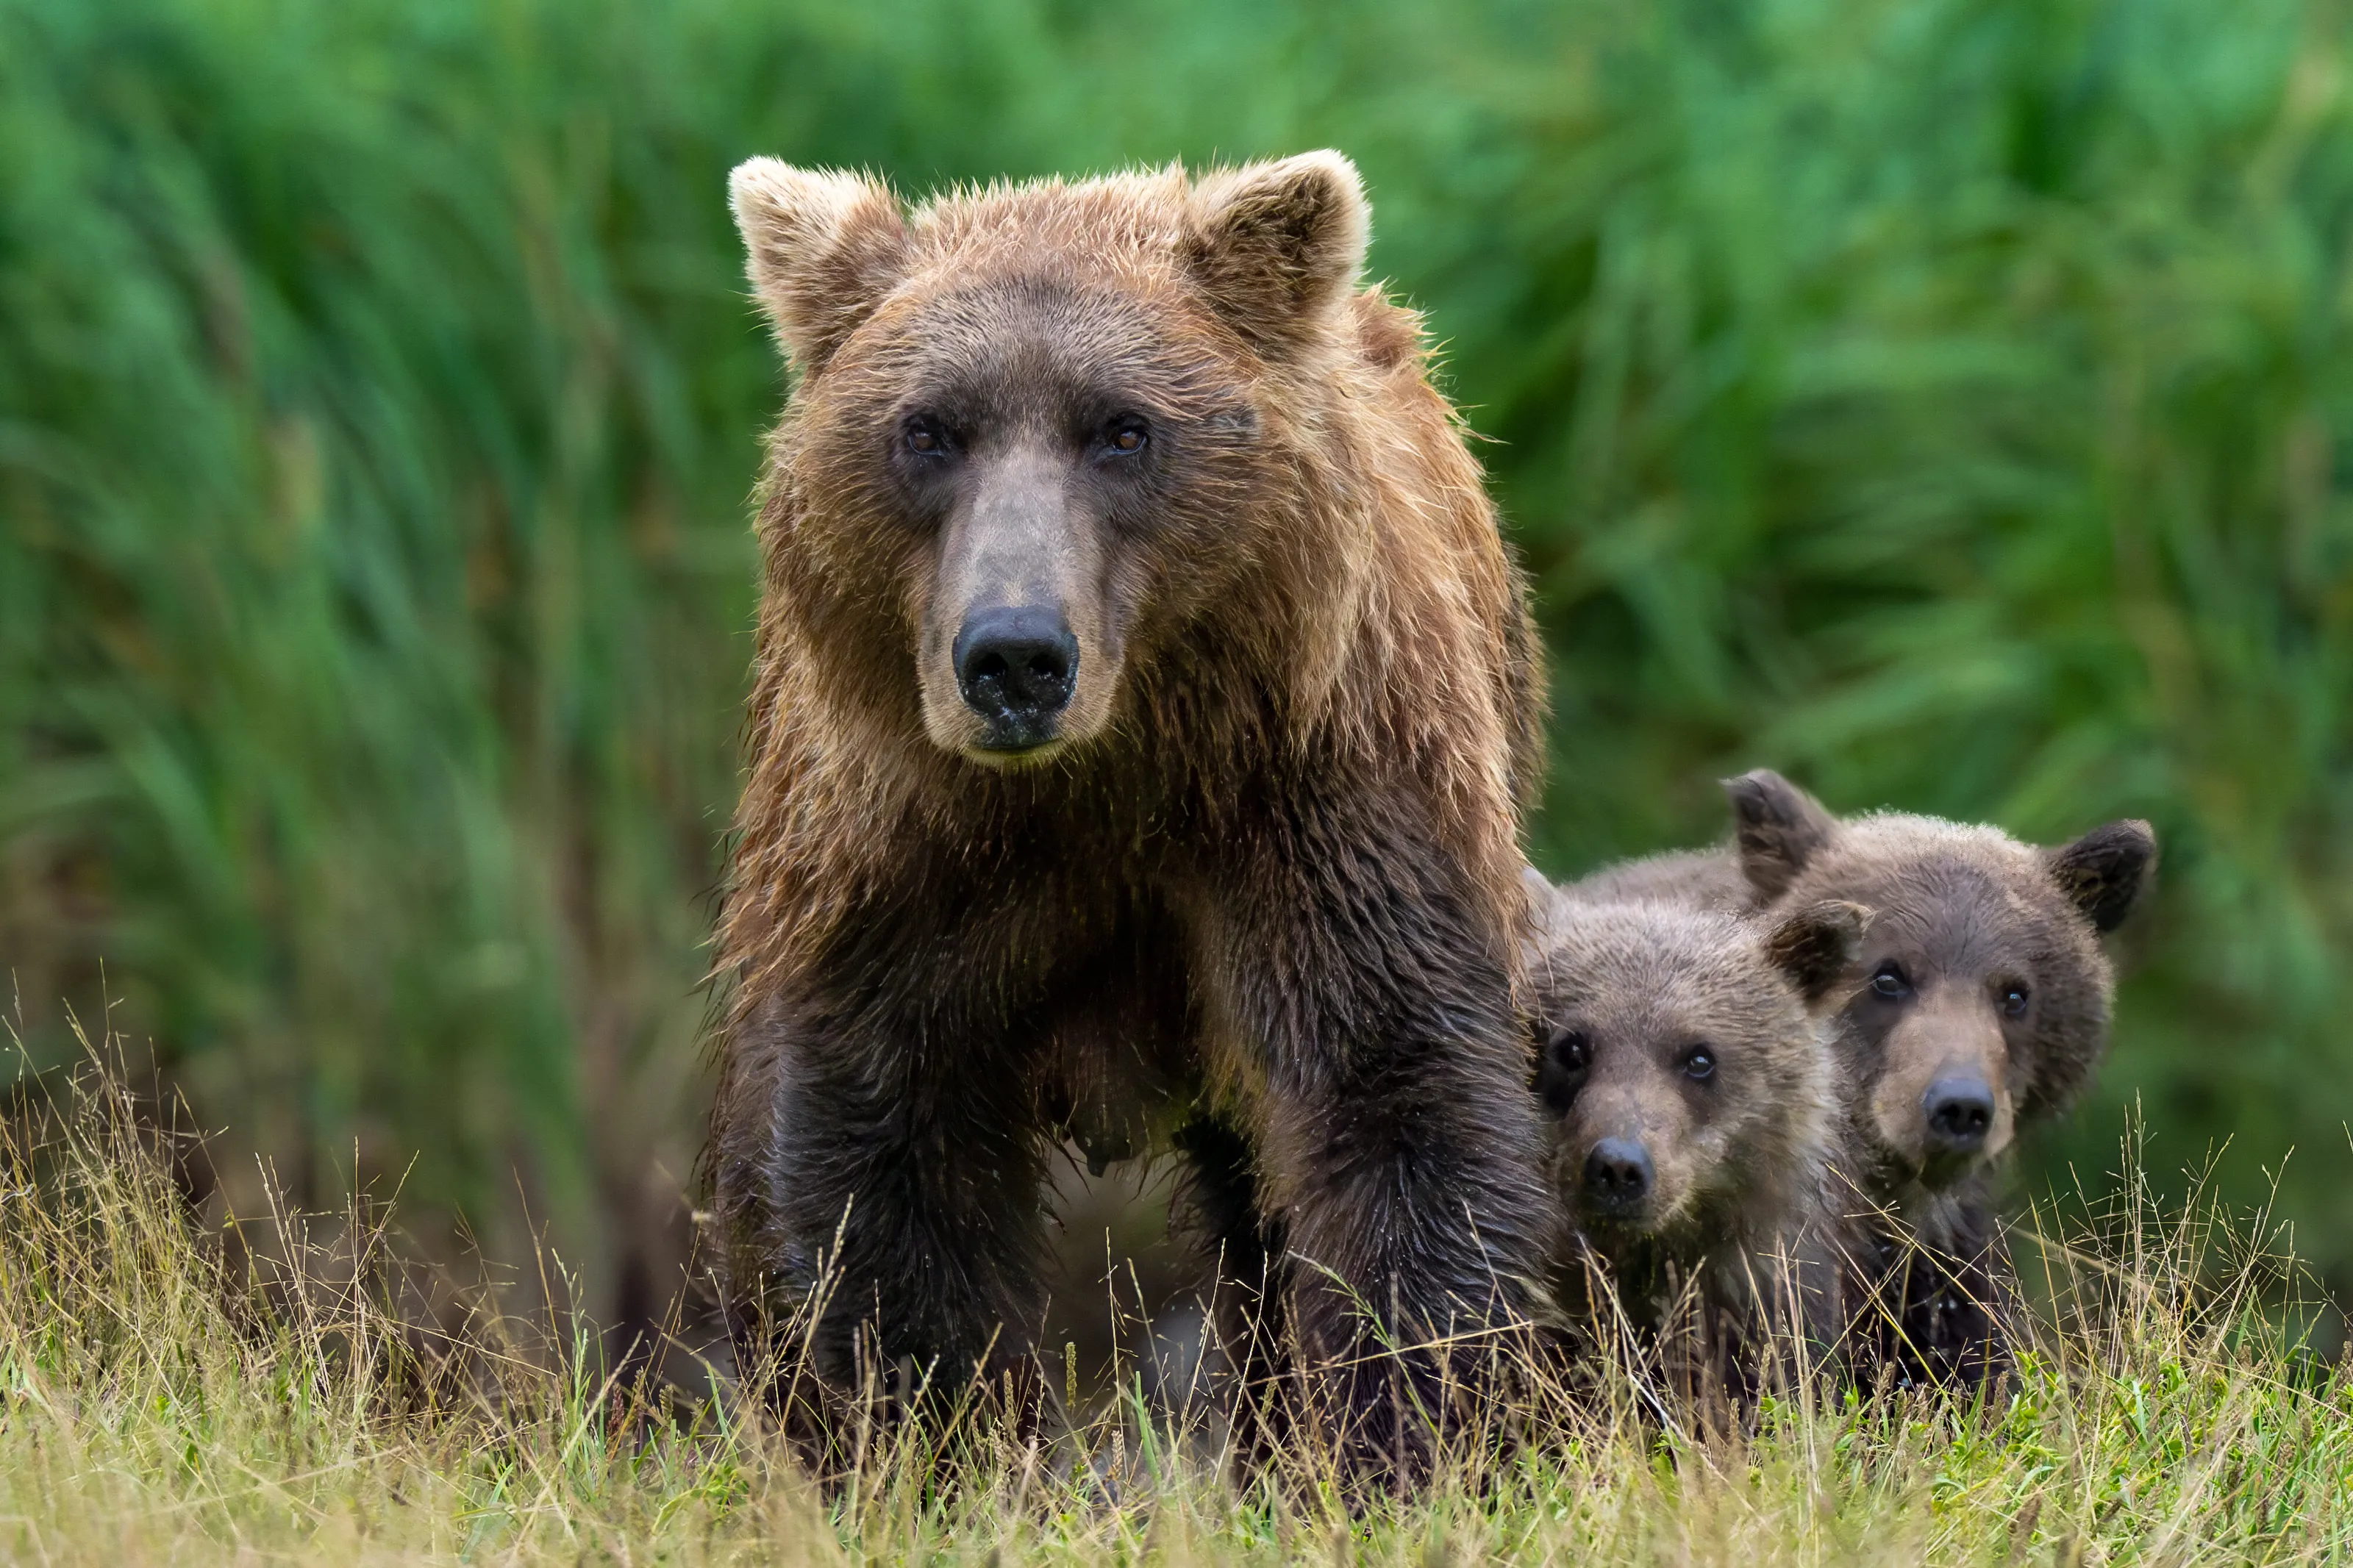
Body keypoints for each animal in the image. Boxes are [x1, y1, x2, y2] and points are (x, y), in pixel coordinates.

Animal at [705, 151, 1558, 1481]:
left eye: (1123, 428)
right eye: (927, 430)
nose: (1014, 655)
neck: (1117, 765)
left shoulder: (1315, 791)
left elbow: (1392, 1092)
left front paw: (1411, 1437)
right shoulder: (899, 840)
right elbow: (877, 1146)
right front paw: (916, 1441)